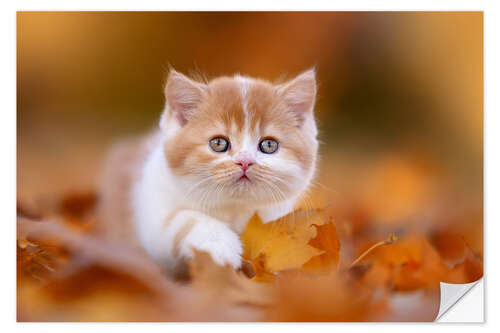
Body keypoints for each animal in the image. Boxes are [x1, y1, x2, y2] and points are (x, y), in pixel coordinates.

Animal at [98, 68, 320, 274]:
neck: (234, 208)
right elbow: (182, 219)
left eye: (268, 145)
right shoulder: (152, 211)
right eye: (219, 143)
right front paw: (220, 246)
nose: (245, 161)